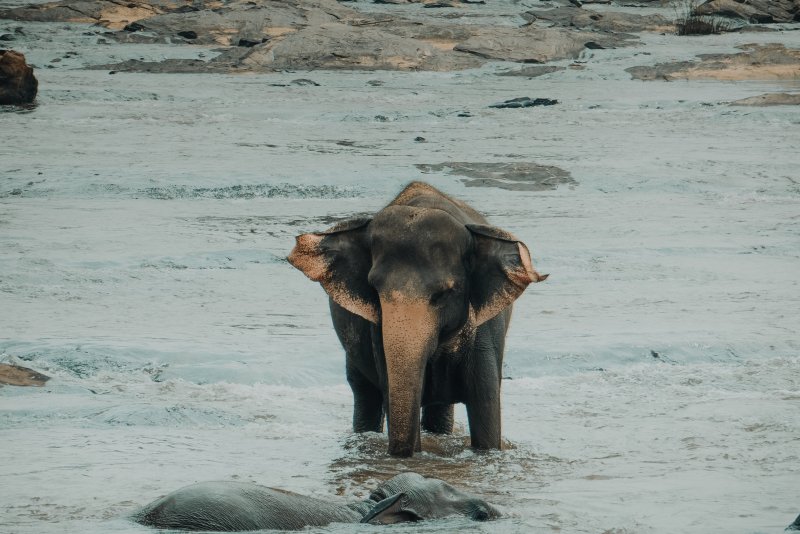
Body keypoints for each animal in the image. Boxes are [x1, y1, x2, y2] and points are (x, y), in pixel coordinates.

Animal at [286, 182, 544, 458]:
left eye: (442, 294)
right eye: (374, 290)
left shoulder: (485, 332)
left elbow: (485, 406)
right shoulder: (378, 334)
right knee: (364, 394)